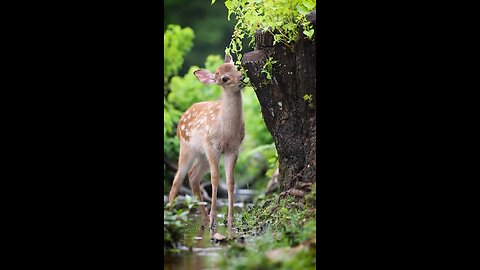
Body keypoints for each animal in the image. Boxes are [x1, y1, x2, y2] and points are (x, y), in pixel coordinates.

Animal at [168, 52, 244, 238]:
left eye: (236, 68)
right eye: (224, 78)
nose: (242, 78)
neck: (226, 130)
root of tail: (182, 117)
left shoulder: (233, 149)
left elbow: (230, 181)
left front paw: (230, 220)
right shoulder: (212, 146)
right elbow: (215, 179)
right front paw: (214, 220)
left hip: (201, 155)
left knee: (193, 176)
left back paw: (203, 219)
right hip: (187, 147)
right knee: (177, 180)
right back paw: (173, 217)